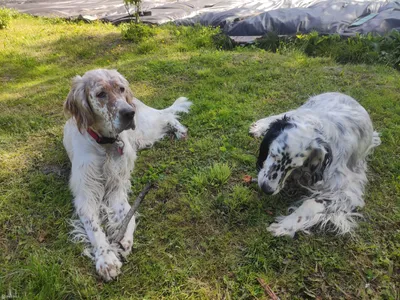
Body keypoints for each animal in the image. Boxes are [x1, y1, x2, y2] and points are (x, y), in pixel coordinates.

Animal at [63, 69, 191, 280]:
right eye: (100, 94)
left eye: (121, 89)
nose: (129, 113)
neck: (106, 144)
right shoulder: (86, 195)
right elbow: (95, 229)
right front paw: (106, 258)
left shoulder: (117, 187)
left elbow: (128, 215)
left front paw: (123, 237)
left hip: (145, 129)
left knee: (167, 117)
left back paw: (181, 131)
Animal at [250, 92, 382, 238]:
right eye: (273, 154)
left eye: (294, 166)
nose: (266, 189)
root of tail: (346, 95)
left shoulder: (347, 191)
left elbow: (311, 203)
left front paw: (286, 224)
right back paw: (260, 126)